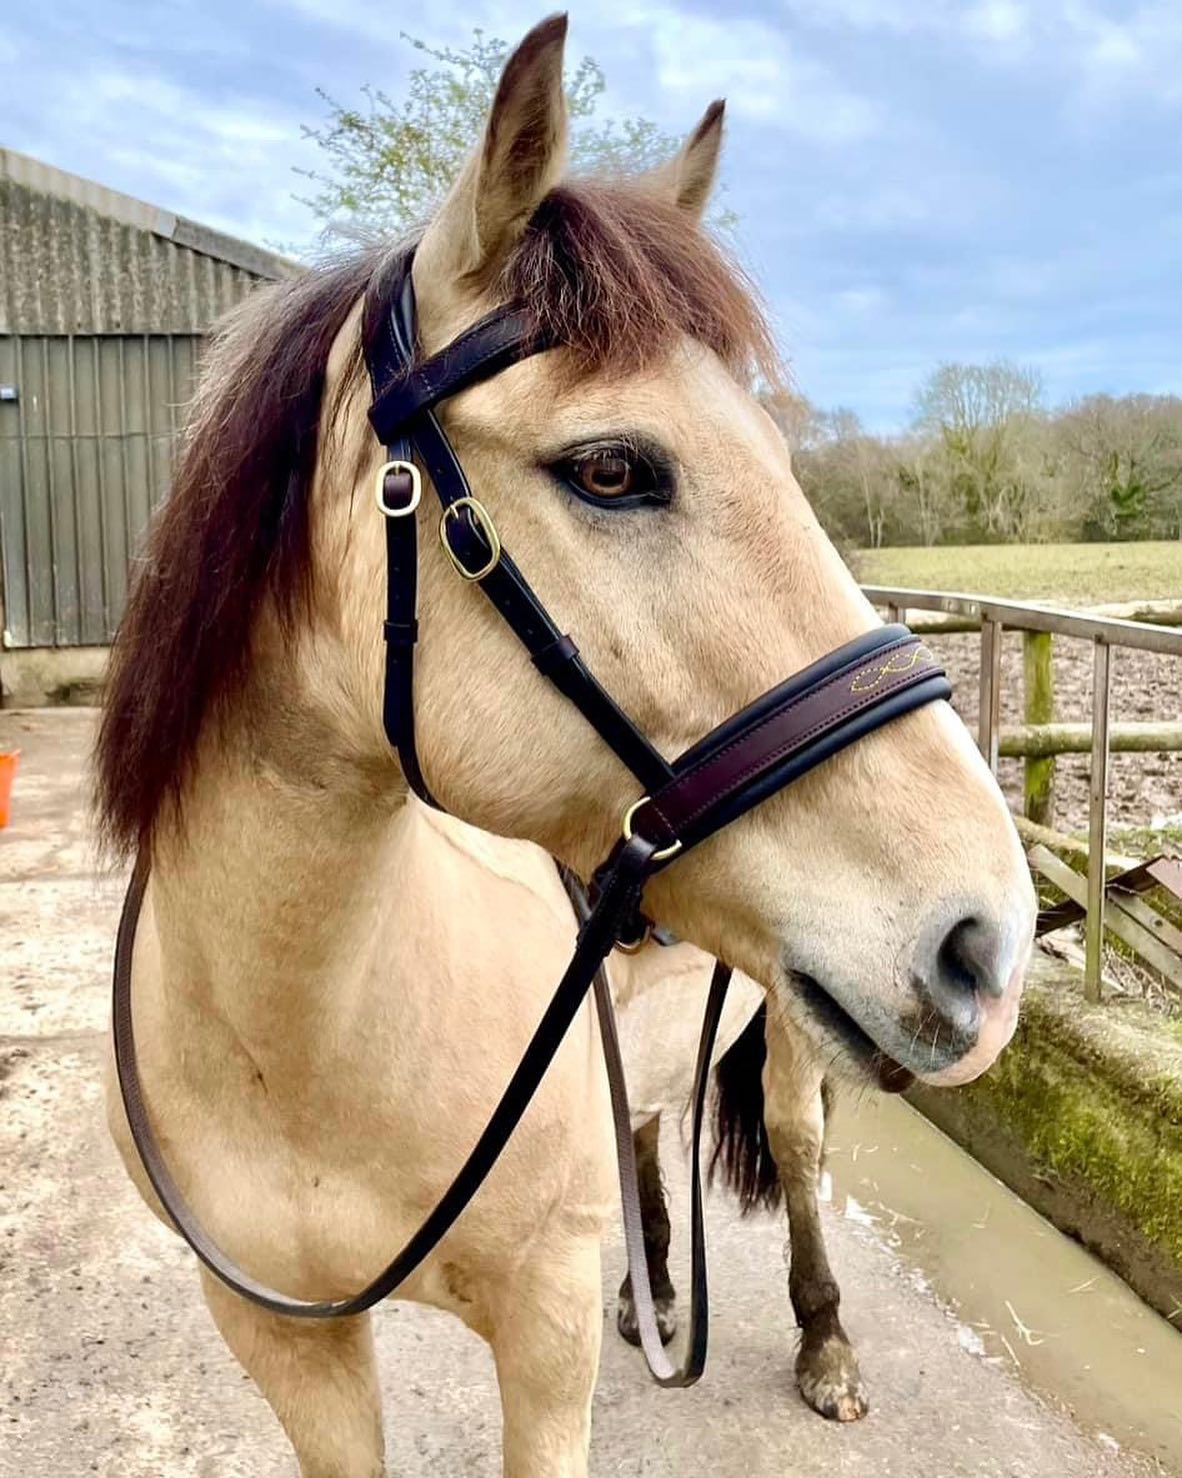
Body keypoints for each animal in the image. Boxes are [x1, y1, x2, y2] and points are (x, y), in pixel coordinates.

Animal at [95, 15, 1036, 1475]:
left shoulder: (537, 1338)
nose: (989, 938)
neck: (290, 1044)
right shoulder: (283, 1341)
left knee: (792, 1140)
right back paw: (648, 1280)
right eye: (610, 469)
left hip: (788, 1020)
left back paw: (823, 1339)